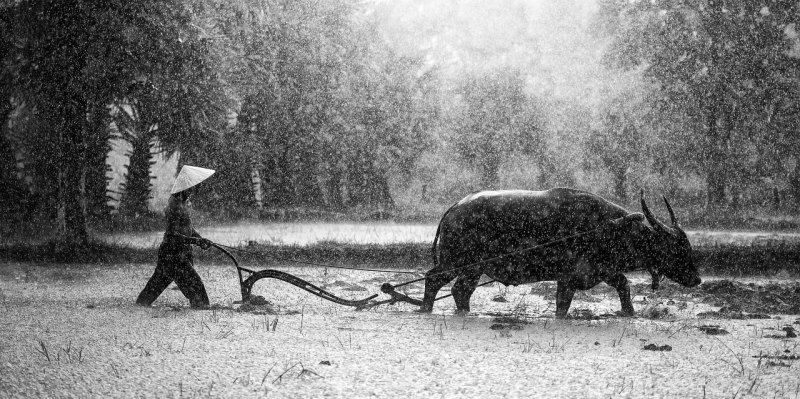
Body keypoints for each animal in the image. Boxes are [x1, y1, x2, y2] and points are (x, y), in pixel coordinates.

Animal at [422, 189, 704, 318]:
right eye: (677, 249)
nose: (697, 279)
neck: (608, 227)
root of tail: (454, 208)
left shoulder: (602, 271)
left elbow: (623, 285)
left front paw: (629, 313)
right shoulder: (569, 278)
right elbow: (563, 305)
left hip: (473, 268)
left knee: (460, 290)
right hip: (458, 262)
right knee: (434, 279)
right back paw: (426, 309)